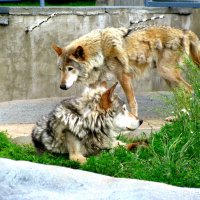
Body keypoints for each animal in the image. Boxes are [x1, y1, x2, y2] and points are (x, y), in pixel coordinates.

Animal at [52, 26, 200, 117]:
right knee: (182, 95)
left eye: (70, 69)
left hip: (166, 73)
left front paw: (133, 119)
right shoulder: (98, 82)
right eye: (60, 69)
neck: (100, 51)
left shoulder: (123, 76)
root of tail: (184, 31)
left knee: (190, 89)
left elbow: (131, 101)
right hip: (168, 78)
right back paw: (177, 117)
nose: (62, 86)